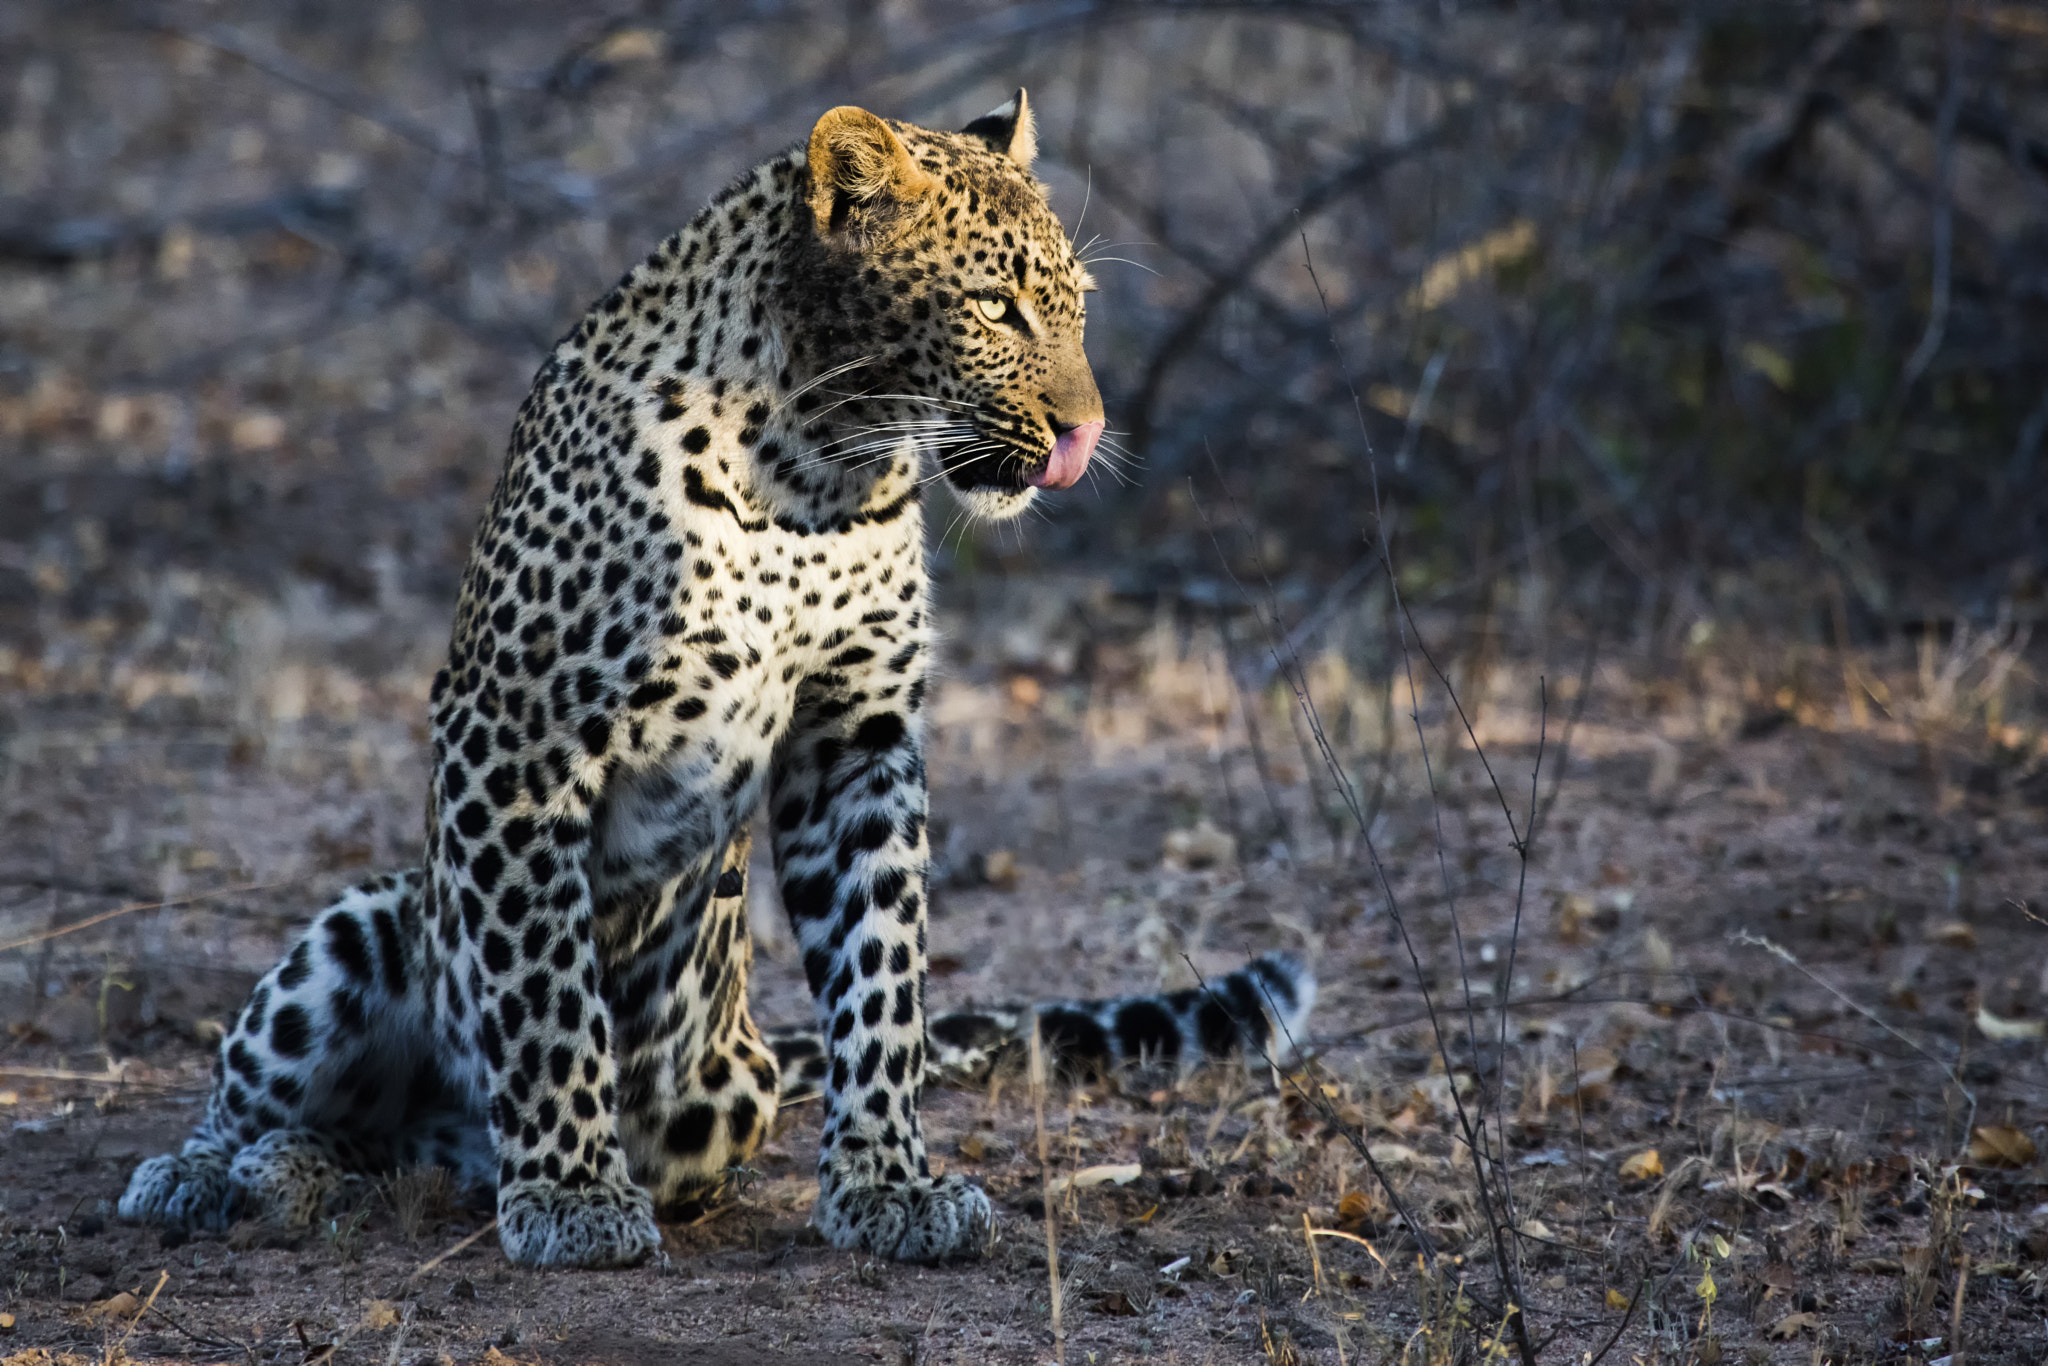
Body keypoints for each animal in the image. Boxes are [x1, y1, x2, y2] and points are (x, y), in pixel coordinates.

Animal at [119, 93, 1318, 1269]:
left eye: (1074, 309)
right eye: (995, 307)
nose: (1089, 430)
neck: (816, 473)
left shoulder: (855, 738)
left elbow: (881, 967)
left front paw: (887, 1183)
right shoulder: (514, 735)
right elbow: (545, 987)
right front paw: (571, 1191)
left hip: (722, 1096)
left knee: (402, 1156)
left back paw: (304, 1173)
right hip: (367, 921)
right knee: (271, 1094)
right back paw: (209, 1172)